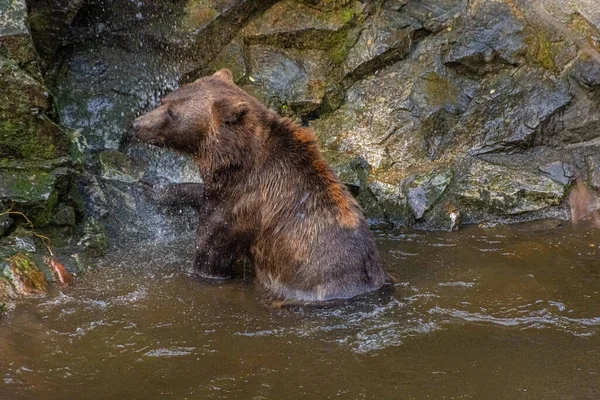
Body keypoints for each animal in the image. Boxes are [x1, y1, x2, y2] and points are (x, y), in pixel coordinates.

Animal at [132, 69, 390, 302]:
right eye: (164, 101)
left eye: (172, 113)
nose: (137, 124)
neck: (236, 160)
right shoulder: (225, 191)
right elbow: (200, 194)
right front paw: (153, 185)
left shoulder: (240, 210)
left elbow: (209, 255)